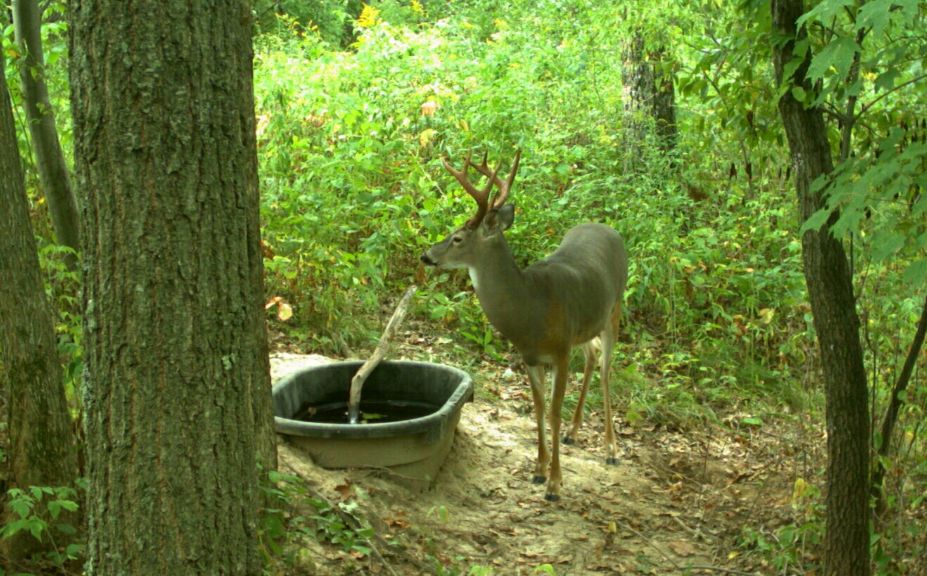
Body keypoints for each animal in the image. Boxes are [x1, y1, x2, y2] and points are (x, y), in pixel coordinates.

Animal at [422, 151, 632, 502]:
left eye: (458, 238)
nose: (426, 255)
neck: (530, 311)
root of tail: (609, 228)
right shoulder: (531, 358)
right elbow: (538, 410)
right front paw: (538, 470)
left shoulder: (559, 354)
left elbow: (553, 412)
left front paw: (555, 484)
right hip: (584, 325)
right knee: (591, 357)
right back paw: (574, 433)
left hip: (614, 308)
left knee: (605, 370)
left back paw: (611, 449)